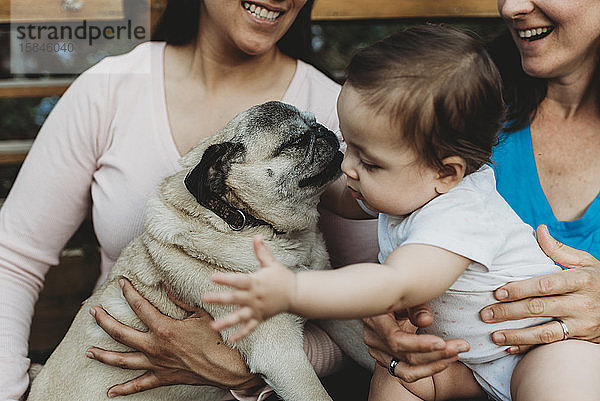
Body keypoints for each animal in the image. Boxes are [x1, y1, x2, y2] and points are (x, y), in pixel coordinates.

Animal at [30, 101, 376, 400]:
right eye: (297, 141)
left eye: (315, 122)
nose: (324, 130)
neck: (256, 224)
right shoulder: (283, 356)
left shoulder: (339, 317)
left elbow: (370, 353)